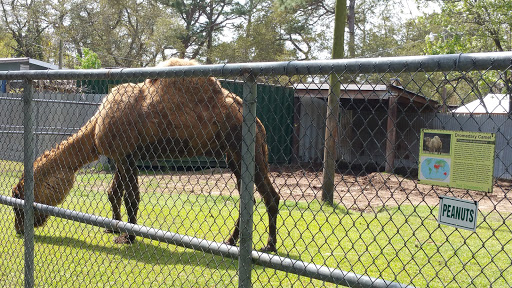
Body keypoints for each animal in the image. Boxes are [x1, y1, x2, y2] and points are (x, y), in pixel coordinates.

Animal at [11, 58, 280, 252]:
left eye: (17, 196)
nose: (18, 229)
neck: (97, 126)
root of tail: (259, 124)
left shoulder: (126, 156)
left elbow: (131, 197)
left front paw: (129, 237)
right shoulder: (121, 156)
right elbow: (113, 193)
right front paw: (113, 228)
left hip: (245, 150)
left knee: (268, 196)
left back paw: (268, 246)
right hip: (234, 156)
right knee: (253, 198)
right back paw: (233, 241)